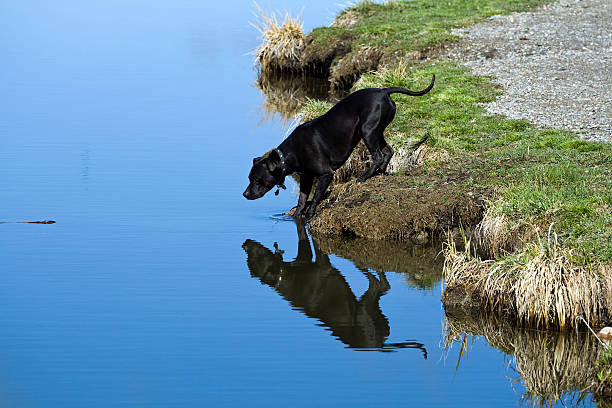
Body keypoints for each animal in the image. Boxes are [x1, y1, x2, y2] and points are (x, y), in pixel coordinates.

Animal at [244, 74, 436, 218]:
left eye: (256, 179)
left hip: (368, 131)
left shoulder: (325, 175)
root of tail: (384, 91)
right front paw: (297, 215)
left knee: (378, 155)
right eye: (249, 178)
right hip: (377, 131)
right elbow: (301, 199)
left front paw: (310, 213)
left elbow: (315, 196)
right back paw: (379, 172)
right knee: (388, 151)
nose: (245, 194)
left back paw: (364, 177)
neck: (287, 156)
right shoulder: (306, 178)